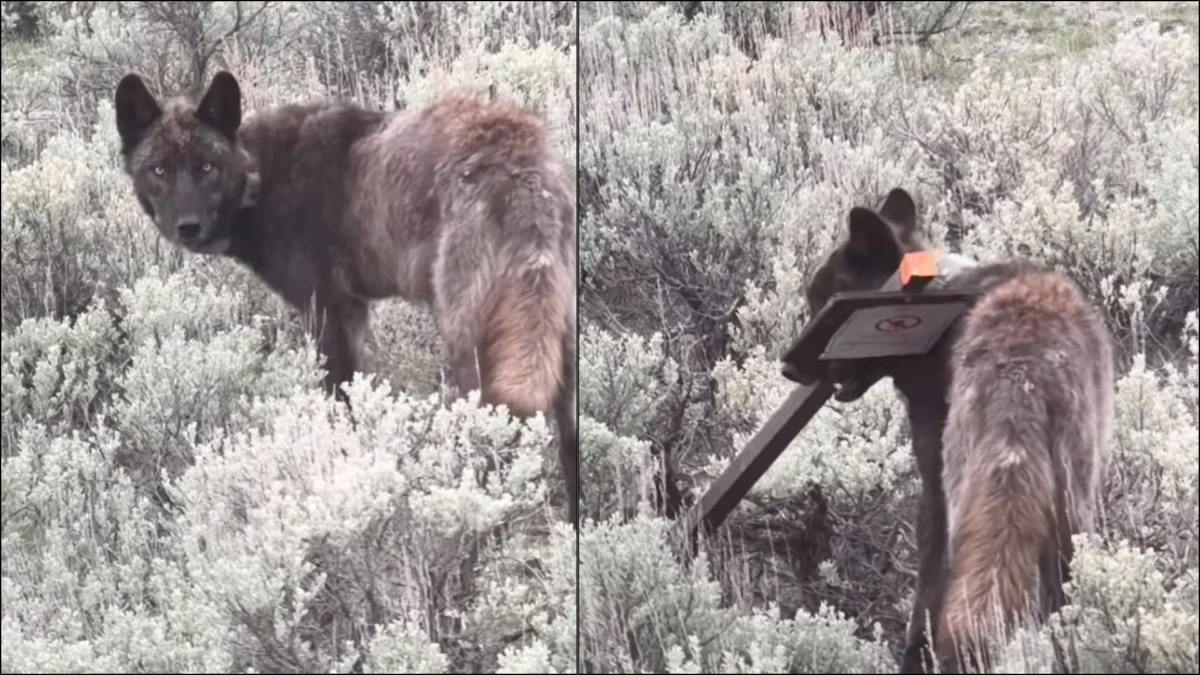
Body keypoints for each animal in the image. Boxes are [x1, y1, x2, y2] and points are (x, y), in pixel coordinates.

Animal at [113, 71, 579, 525]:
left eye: (207, 166)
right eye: (159, 170)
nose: (187, 227)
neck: (262, 179)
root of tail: (521, 160)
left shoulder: (328, 315)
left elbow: (342, 410)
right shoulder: (354, 313)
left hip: (467, 345)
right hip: (556, 348)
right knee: (569, 442)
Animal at [800, 188, 1113, 673]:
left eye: (825, 302)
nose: (787, 366)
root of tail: (1025, 367)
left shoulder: (933, 479)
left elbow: (927, 585)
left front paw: (914, 652)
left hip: (969, 488)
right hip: (1073, 509)